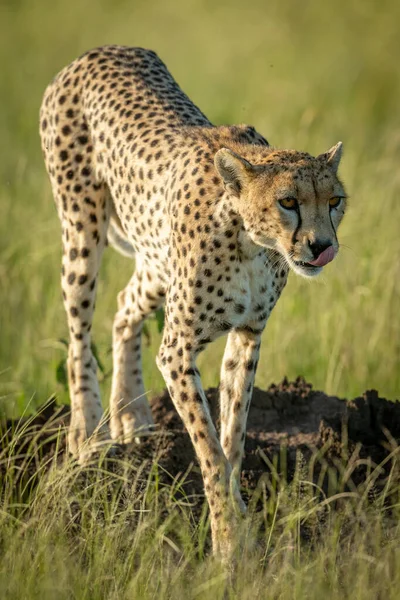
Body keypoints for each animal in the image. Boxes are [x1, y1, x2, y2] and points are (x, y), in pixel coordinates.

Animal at [39, 44, 346, 560]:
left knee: (123, 307)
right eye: (288, 202)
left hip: (156, 262)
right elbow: (209, 448)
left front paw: (239, 519)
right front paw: (228, 542)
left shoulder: (248, 335)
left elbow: (233, 437)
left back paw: (132, 415)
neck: (252, 241)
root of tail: (103, 50)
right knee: (79, 332)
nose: (321, 246)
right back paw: (89, 433)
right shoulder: (178, 350)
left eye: (335, 200)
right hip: (82, 227)